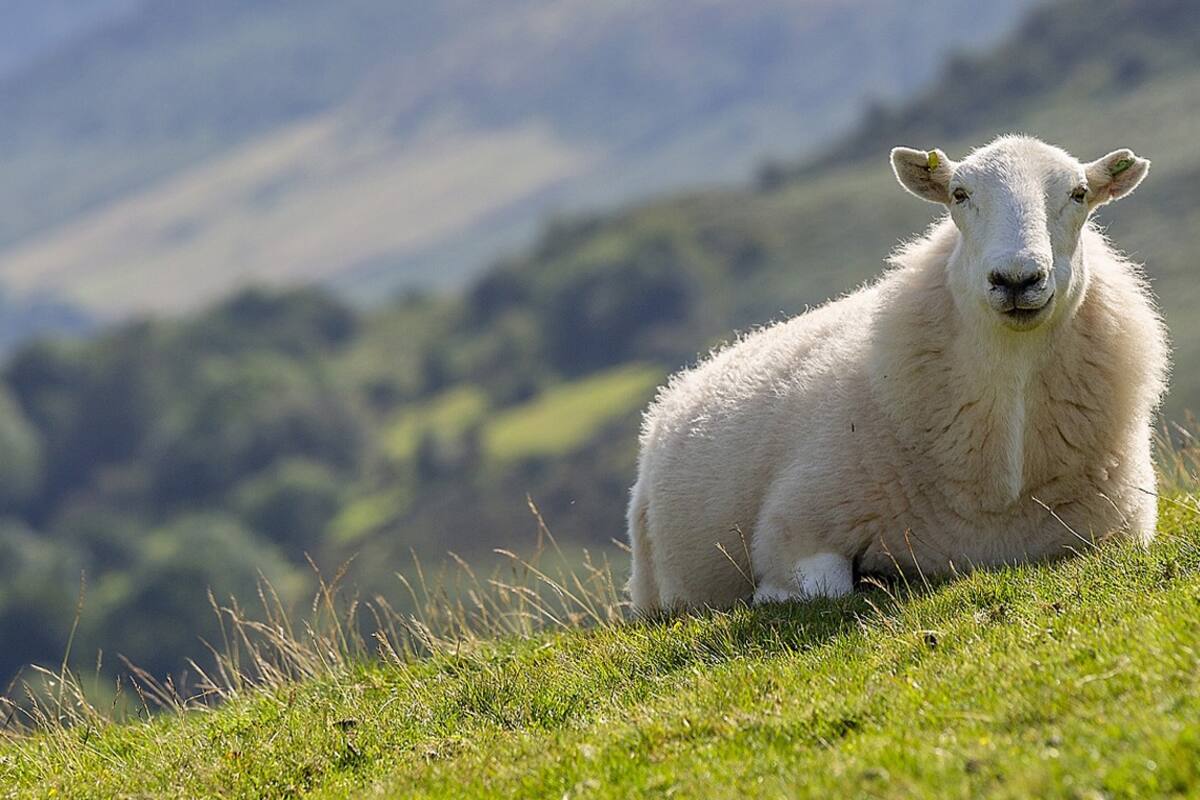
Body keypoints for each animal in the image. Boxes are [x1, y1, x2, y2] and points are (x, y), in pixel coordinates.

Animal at [627, 135, 1168, 612]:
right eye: (959, 194)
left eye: (1079, 193)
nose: (1017, 279)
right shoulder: (796, 528)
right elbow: (823, 588)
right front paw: (773, 597)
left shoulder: (1121, 533)